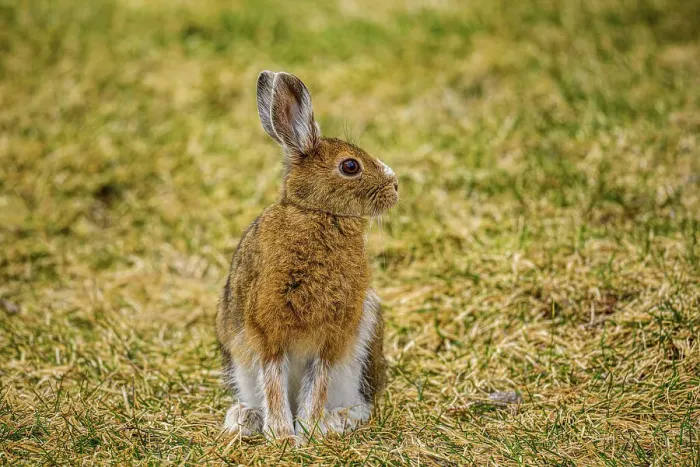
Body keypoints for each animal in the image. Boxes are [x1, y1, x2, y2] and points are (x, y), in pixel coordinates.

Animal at [215, 71, 398, 442]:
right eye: (350, 165)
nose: (396, 186)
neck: (317, 214)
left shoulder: (332, 335)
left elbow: (318, 384)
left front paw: (308, 431)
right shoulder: (267, 330)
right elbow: (273, 381)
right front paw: (283, 435)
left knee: (363, 404)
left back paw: (335, 421)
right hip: (241, 364)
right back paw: (245, 418)